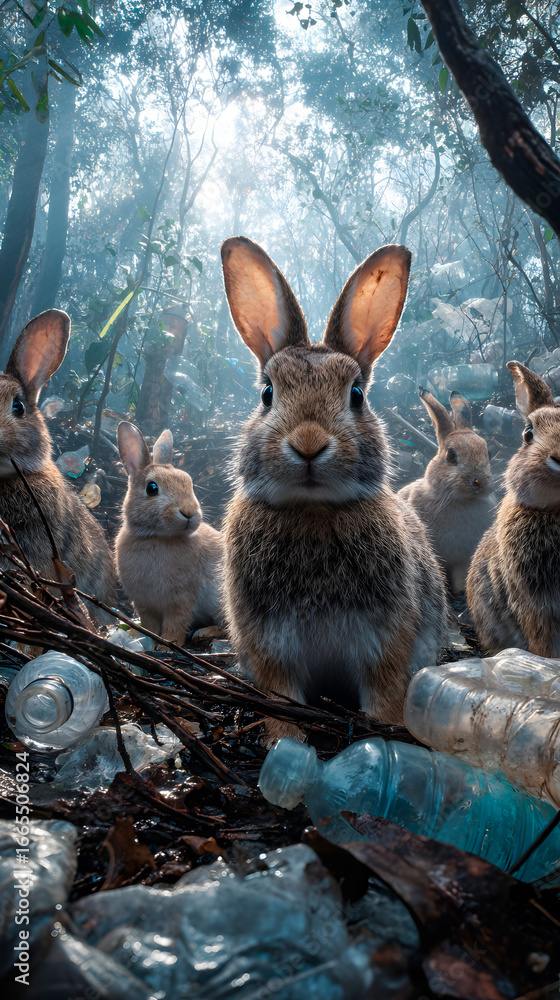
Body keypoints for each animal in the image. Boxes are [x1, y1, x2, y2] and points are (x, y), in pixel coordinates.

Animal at [115, 421, 224, 645]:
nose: (189, 512)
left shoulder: (182, 598)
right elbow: (150, 625)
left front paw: (168, 645)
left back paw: (204, 633)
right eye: (152, 488)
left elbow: (176, 623)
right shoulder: (144, 603)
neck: (155, 537)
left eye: (189, 482)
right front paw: (149, 639)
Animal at [220, 236, 449, 732]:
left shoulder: (385, 640)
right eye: (267, 394)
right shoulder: (271, 649)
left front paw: (389, 727)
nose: (308, 444)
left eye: (357, 395)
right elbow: (281, 699)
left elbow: (385, 690)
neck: (314, 508)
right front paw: (286, 740)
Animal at [399, 387, 496, 594]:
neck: (459, 501)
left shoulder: (464, 556)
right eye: (451, 455)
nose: (480, 481)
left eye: (489, 453)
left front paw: (460, 590)